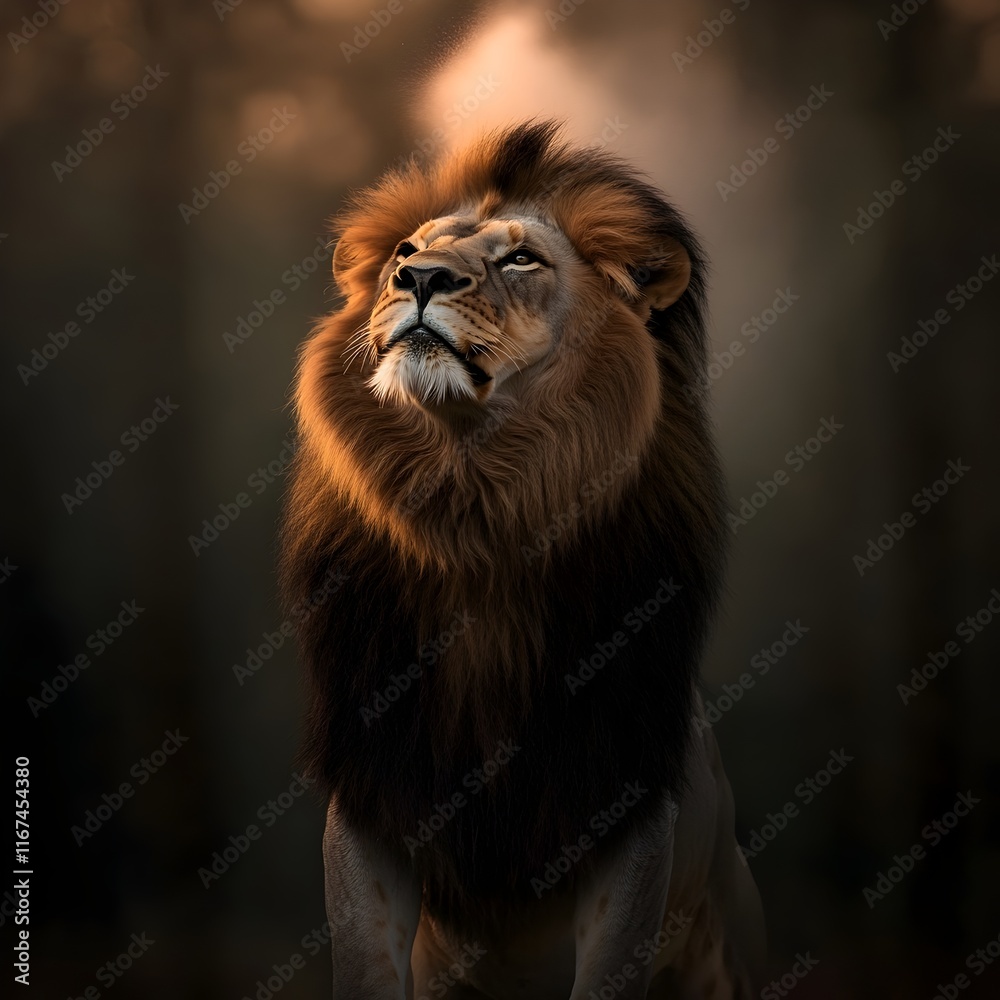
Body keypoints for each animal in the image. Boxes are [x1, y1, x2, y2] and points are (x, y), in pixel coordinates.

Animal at [280, 121, 765, 999]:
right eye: (406, 249)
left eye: (522, 260)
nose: (419, 278)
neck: (475, 508)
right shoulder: (374, 792)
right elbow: (365, 963)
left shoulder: (626, 801)